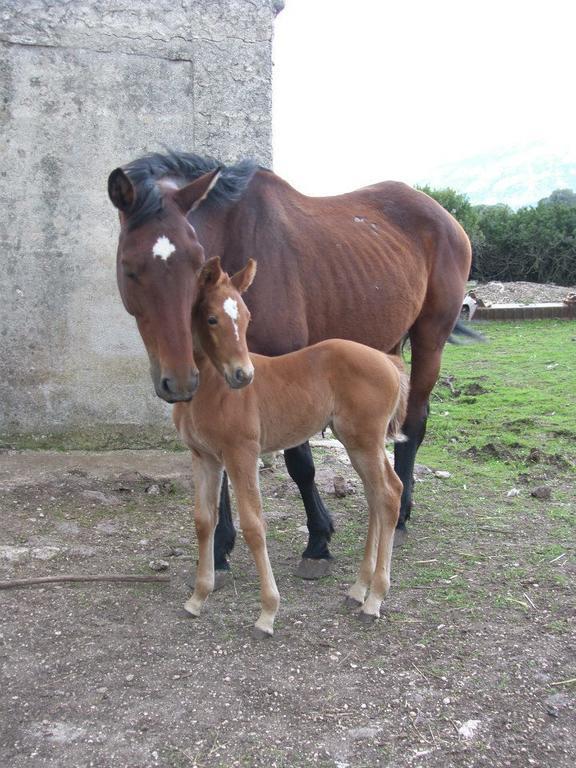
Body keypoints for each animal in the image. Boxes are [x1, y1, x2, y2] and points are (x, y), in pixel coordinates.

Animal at [108, 152, 472, 576]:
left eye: (196, 267)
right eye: (129, 267)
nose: (179, 381)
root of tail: (442, 215)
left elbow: (300, 462)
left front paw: (318, 540)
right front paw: (220, 548)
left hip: (430, 339)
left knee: (413, 424)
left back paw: (400, 516)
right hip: (389, 343)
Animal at [176, 258, 410, 636]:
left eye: (246, 317)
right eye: (212, 318)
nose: (244, 376)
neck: (212, 386)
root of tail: (388, 361)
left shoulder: (242, 455)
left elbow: (254, 525)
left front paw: (267, 614)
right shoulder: (204, 458)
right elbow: (203, 520)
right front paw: (198, 599)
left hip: (365, 441)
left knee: (388, 494)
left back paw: (374, 599)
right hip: (358, 443)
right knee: (377, 495)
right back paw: (358, 589)